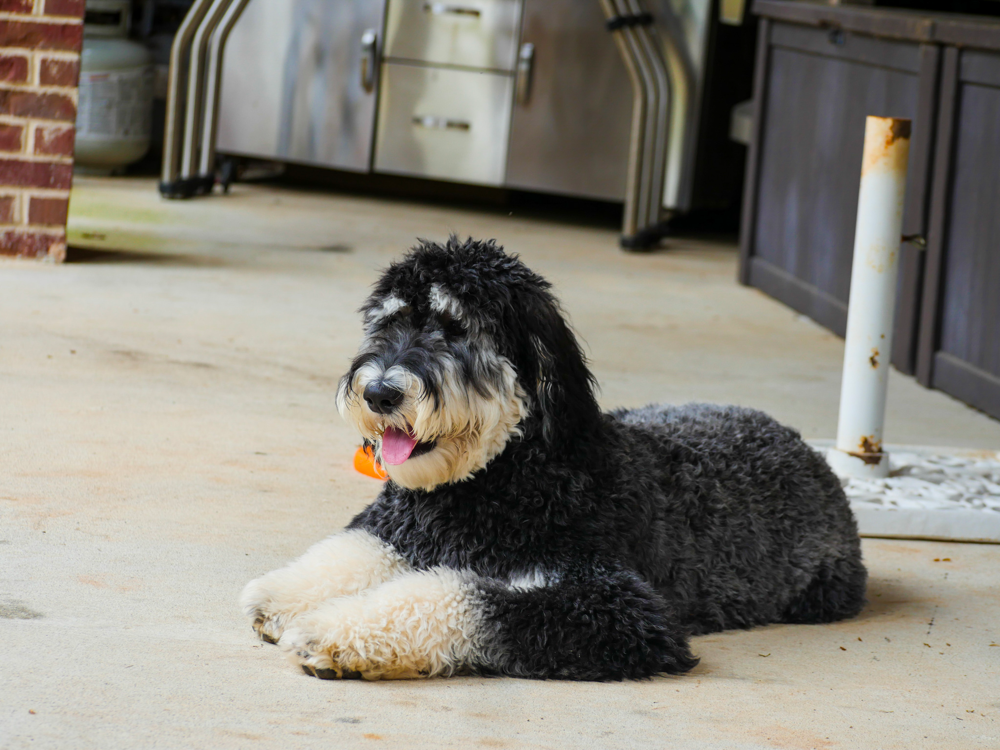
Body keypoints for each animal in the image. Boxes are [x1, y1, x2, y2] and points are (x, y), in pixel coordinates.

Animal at [242, 238, 868, 684]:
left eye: (455, 328)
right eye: (388, 322)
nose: (379, 393)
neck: (496, 480)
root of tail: (804, 446)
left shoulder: (617, 609)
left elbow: (463, 598)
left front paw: (332, 633)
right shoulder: (401, 529)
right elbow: (354, 551)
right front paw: (284, 597)